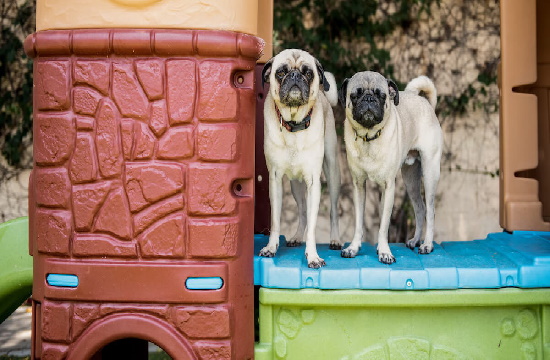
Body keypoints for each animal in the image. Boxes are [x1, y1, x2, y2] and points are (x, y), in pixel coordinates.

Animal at [258, 48, 340, 268]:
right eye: (280, 72)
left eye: (308, 73)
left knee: (332, 211)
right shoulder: (275, 180)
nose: (295, 75)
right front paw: (271, 247)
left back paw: (335, 239)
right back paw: (295, 237)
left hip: (332, 173)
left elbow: (312, 227)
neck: (294, 124)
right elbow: (276, 221)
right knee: (302, 212)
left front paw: (312, 256)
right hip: (295, 184)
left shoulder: (313, 182)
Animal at [340, 72, 444, 264]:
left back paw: (427, 244)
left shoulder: (388, 187)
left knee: (430, 210)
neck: (369, 138)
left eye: (381, 95)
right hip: (410, 180)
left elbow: (383, 225)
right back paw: (415, 240)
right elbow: (359, 223)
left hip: (430, 173)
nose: (369, 98)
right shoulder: (359, 186)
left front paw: (384, 252)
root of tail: (425, 103)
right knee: (420, 209)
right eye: (355, 95)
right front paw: (353, 248)